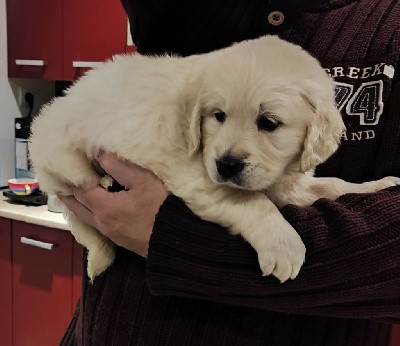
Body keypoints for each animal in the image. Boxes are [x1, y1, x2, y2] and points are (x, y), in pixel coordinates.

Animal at [28, 35, 400, 282]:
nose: (227, 165)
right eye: (218, 115)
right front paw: (283, 246)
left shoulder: (287, 179)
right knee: (76, 201)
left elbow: (332, 186)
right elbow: (253, 203)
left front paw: (381, 185)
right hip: (64, 160)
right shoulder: (199, 177)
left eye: (269, 123)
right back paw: (103, 183)